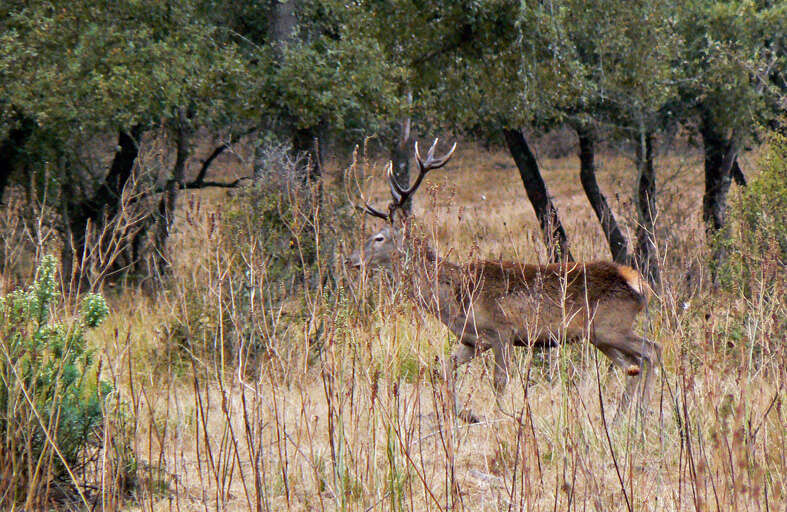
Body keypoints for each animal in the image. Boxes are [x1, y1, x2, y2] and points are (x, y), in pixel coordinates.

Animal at [348, 140, 660, 424]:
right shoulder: (473, 340)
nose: (351, 260)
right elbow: (444, 368)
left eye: (379, 238)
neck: (454, 297)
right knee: (633, 364)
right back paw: (623, 418)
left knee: (650, 351)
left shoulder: (503, 331)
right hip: (600, 335)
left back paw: (644, 416)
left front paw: (504, 417)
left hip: (610, 326)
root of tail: (638, 284)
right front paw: (466, 414)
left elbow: (500, 380)